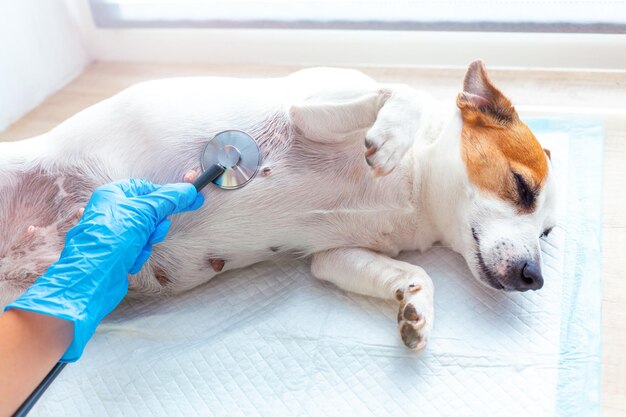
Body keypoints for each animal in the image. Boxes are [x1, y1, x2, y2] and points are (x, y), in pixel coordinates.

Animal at [0, 59, 552, 352]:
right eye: (521, 187)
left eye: (547, 236)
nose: (535, 278)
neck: (415, 192)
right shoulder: (307, 110)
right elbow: (402, 93)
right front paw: (391, 138)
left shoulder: (334, 258)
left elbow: (412, 275)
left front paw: (416, 307)